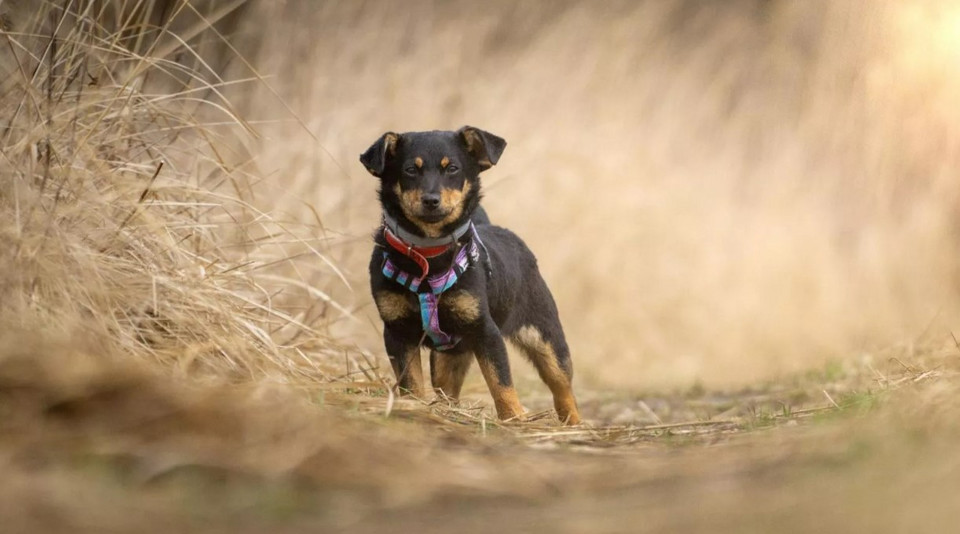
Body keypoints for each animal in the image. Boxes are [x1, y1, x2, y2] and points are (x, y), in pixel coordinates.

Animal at [360, 126, 580, 428]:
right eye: (410, 170)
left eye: (452, 168)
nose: (431, 200)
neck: (429, 254)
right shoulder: (397, 332)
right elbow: (410, 382)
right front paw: (414, 407)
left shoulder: (486, 331)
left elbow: (500, 381)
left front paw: (513, 418)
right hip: (448, 357)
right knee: (447, 389)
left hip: (545, 337)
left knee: (562, 385)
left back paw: (575, 424)